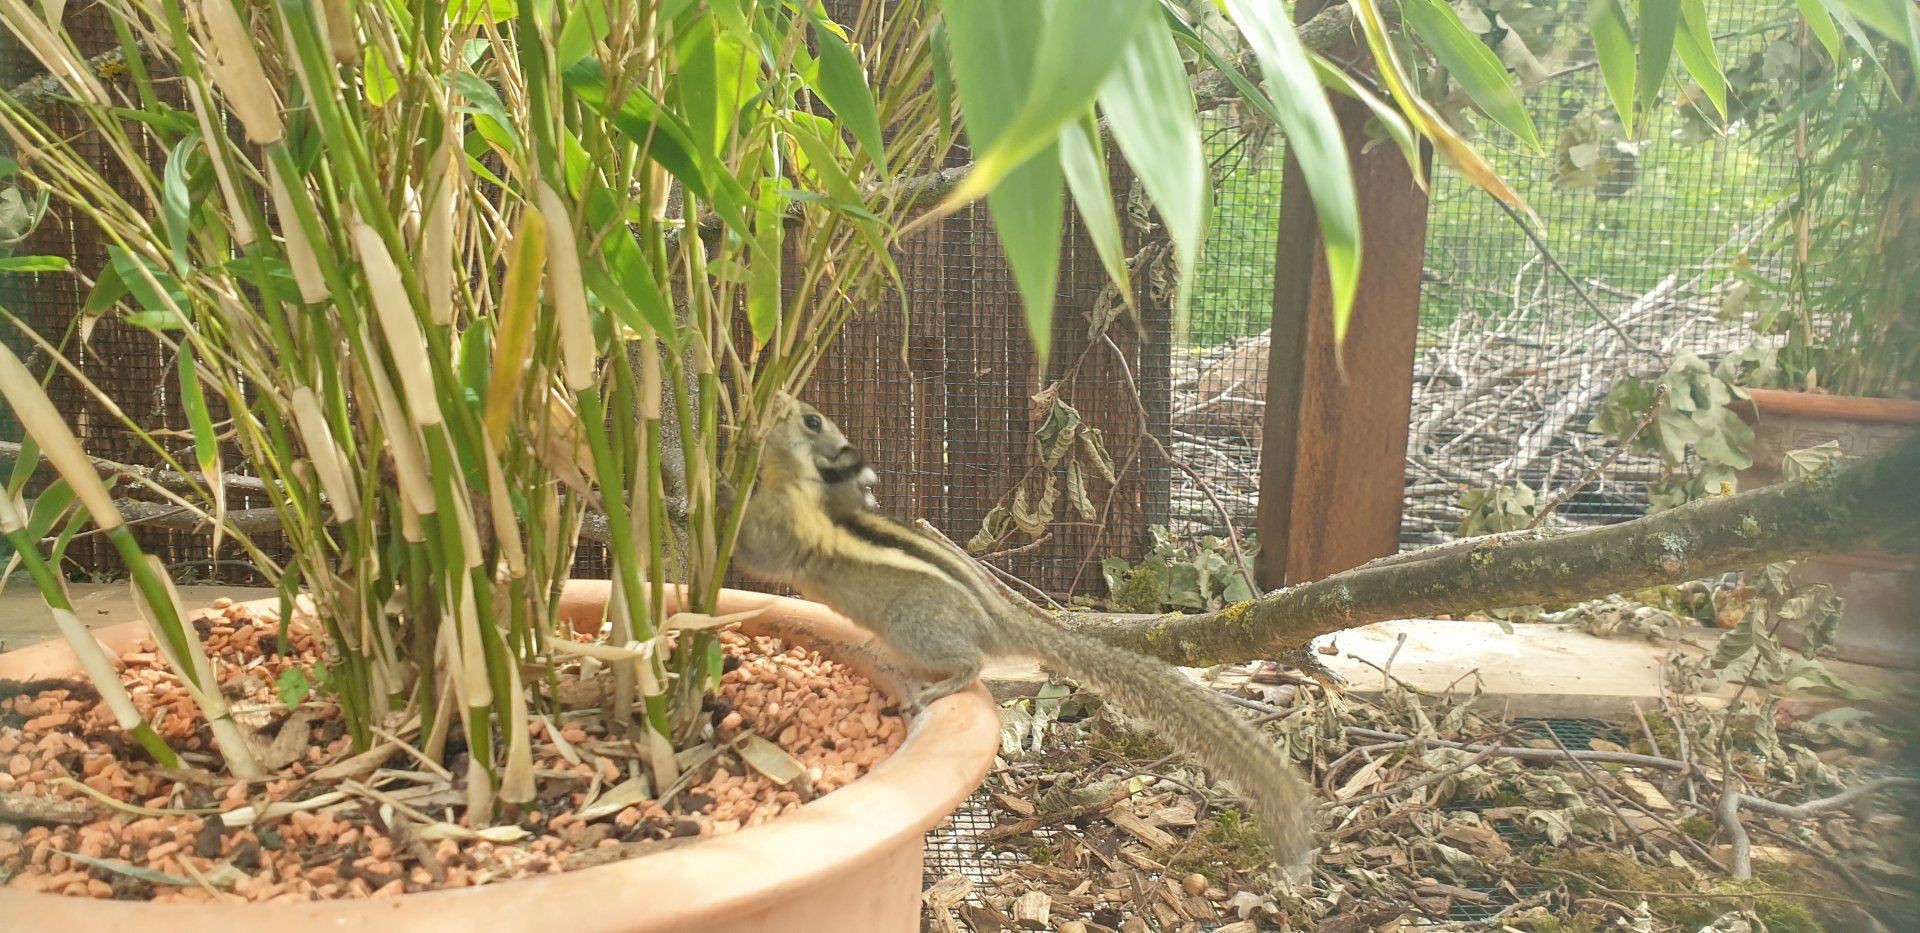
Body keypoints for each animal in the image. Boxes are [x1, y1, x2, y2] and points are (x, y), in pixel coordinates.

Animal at [726, 395, 1315, 871]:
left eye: (811, 419)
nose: (775, 398)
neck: (812, 489)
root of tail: (997, 617)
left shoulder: (781, 535)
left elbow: (753, 553)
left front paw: (726, 483)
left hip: (913, 623)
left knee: (972, 666)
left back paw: (938, 687)